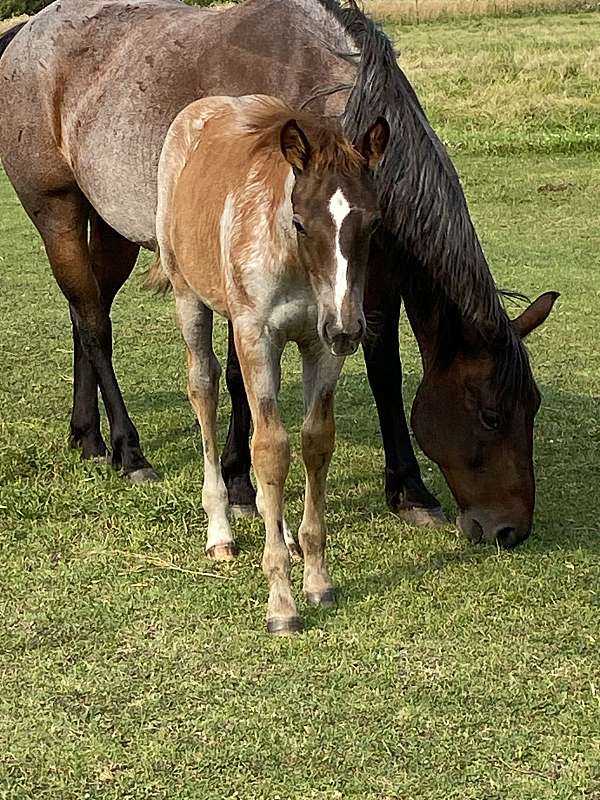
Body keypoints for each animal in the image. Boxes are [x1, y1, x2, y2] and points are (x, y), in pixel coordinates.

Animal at [0, 0, 556, 552]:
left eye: (532, 408)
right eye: (490, 415)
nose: (511, 529)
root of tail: (28, 31)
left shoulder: (371, 281)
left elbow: (385, 373)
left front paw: (411, 492)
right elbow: (237, 378)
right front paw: (240, 485)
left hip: (110, 228)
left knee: (85, 314)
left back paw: (87, 437)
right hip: (58, 212)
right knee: (94, 325)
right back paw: (128, 451)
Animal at [150, 95, 390, 632]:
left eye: (373, 224)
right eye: (300, 222)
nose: (348, 329)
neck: (294, 263)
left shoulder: (319, 344)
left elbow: (315, 441)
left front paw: (317, 579)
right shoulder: (257, 336)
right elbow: (270, 449)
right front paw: (281, 603)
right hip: (189, 298)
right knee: (204, 387)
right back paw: (220, 531)